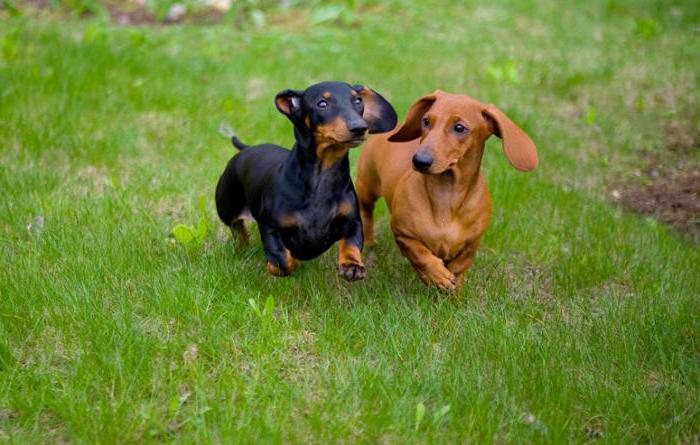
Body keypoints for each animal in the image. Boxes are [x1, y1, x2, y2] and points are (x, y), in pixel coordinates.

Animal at [213, 81, 396, 280]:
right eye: (322, 103)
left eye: (358, 101)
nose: (360, 128)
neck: (322, 176)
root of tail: (247, 149)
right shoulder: (269, 226)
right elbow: (282, 260)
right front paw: (275, 264)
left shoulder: (352, 221)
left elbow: (351, 243)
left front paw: (352, 265)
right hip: (227, 208)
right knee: (237, 228)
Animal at [356, 91, 536, 292]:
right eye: (426, 121)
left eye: (459, 127)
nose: (420, 161)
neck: (446, 196)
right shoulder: (403, 234)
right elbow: (419, 254)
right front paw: (436, 275)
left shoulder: (472, 244)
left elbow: (459, 267)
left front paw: (453, 290)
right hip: (366, 186)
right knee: (366, 213)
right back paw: (369, 242)